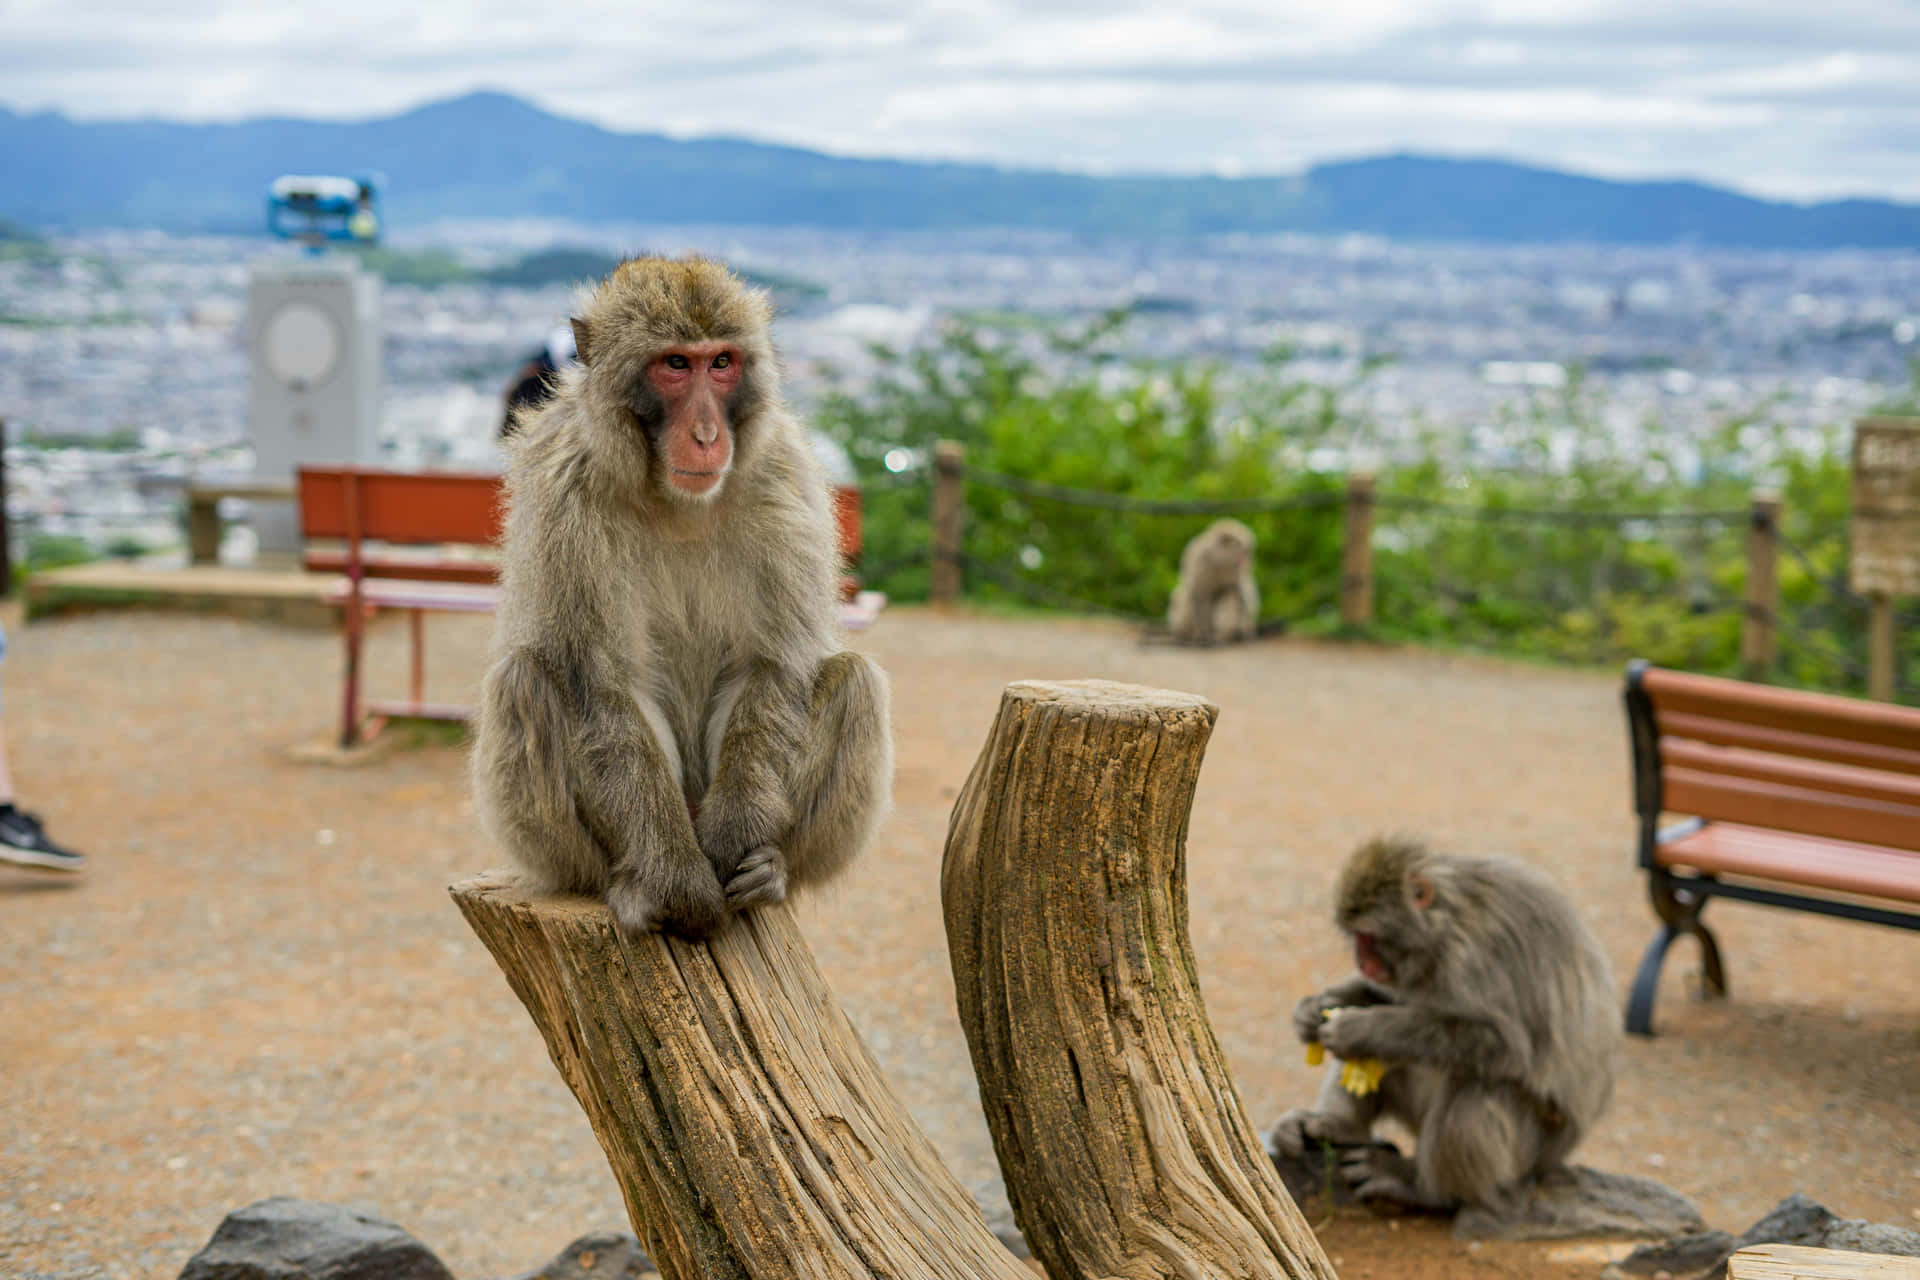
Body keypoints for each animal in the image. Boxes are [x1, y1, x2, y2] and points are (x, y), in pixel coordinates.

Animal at [480, 257, 898, 940]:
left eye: (721, 362)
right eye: (675, 364)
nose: (705, 434)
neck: (674, 501)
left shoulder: (783, 477)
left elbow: (773, 666)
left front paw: (732, 845)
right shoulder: (566, 490)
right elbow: (607, 685)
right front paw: (675, 879)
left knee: (857, 681)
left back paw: (774, 870)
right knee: (525, 681)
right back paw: (626, 886)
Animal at [1274, 836, 1620, 1220]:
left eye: (1368, 936)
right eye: (1355, 937)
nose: (1361, 962)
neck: (1445, 924)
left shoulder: (1474, 957)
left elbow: (1506, 1045)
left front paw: (1359, 1030)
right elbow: (1386, 996)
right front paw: (1313, 1010)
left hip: (1533, 1151)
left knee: (1476, 1088)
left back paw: (1424, 1188)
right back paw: (1338, 1127)